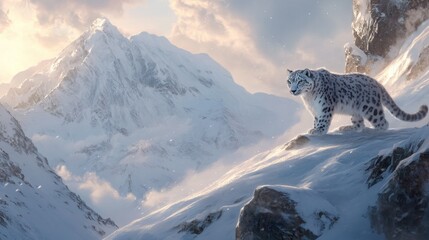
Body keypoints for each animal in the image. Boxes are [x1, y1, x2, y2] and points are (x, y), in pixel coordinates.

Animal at [286, 68, 426, 134]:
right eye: (289, 81)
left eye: (300, 81)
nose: (293, 90)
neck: (308, 98)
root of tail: (376, 82)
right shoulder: (315, 111)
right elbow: (316, 120)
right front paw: (314, 128)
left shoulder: (324, 107)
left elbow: (323, 120)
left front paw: (318, 131)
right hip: (355, 110)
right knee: (359, 124)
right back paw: (346, 128)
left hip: (371, 109)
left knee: (382, 123)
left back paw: (374, 131)